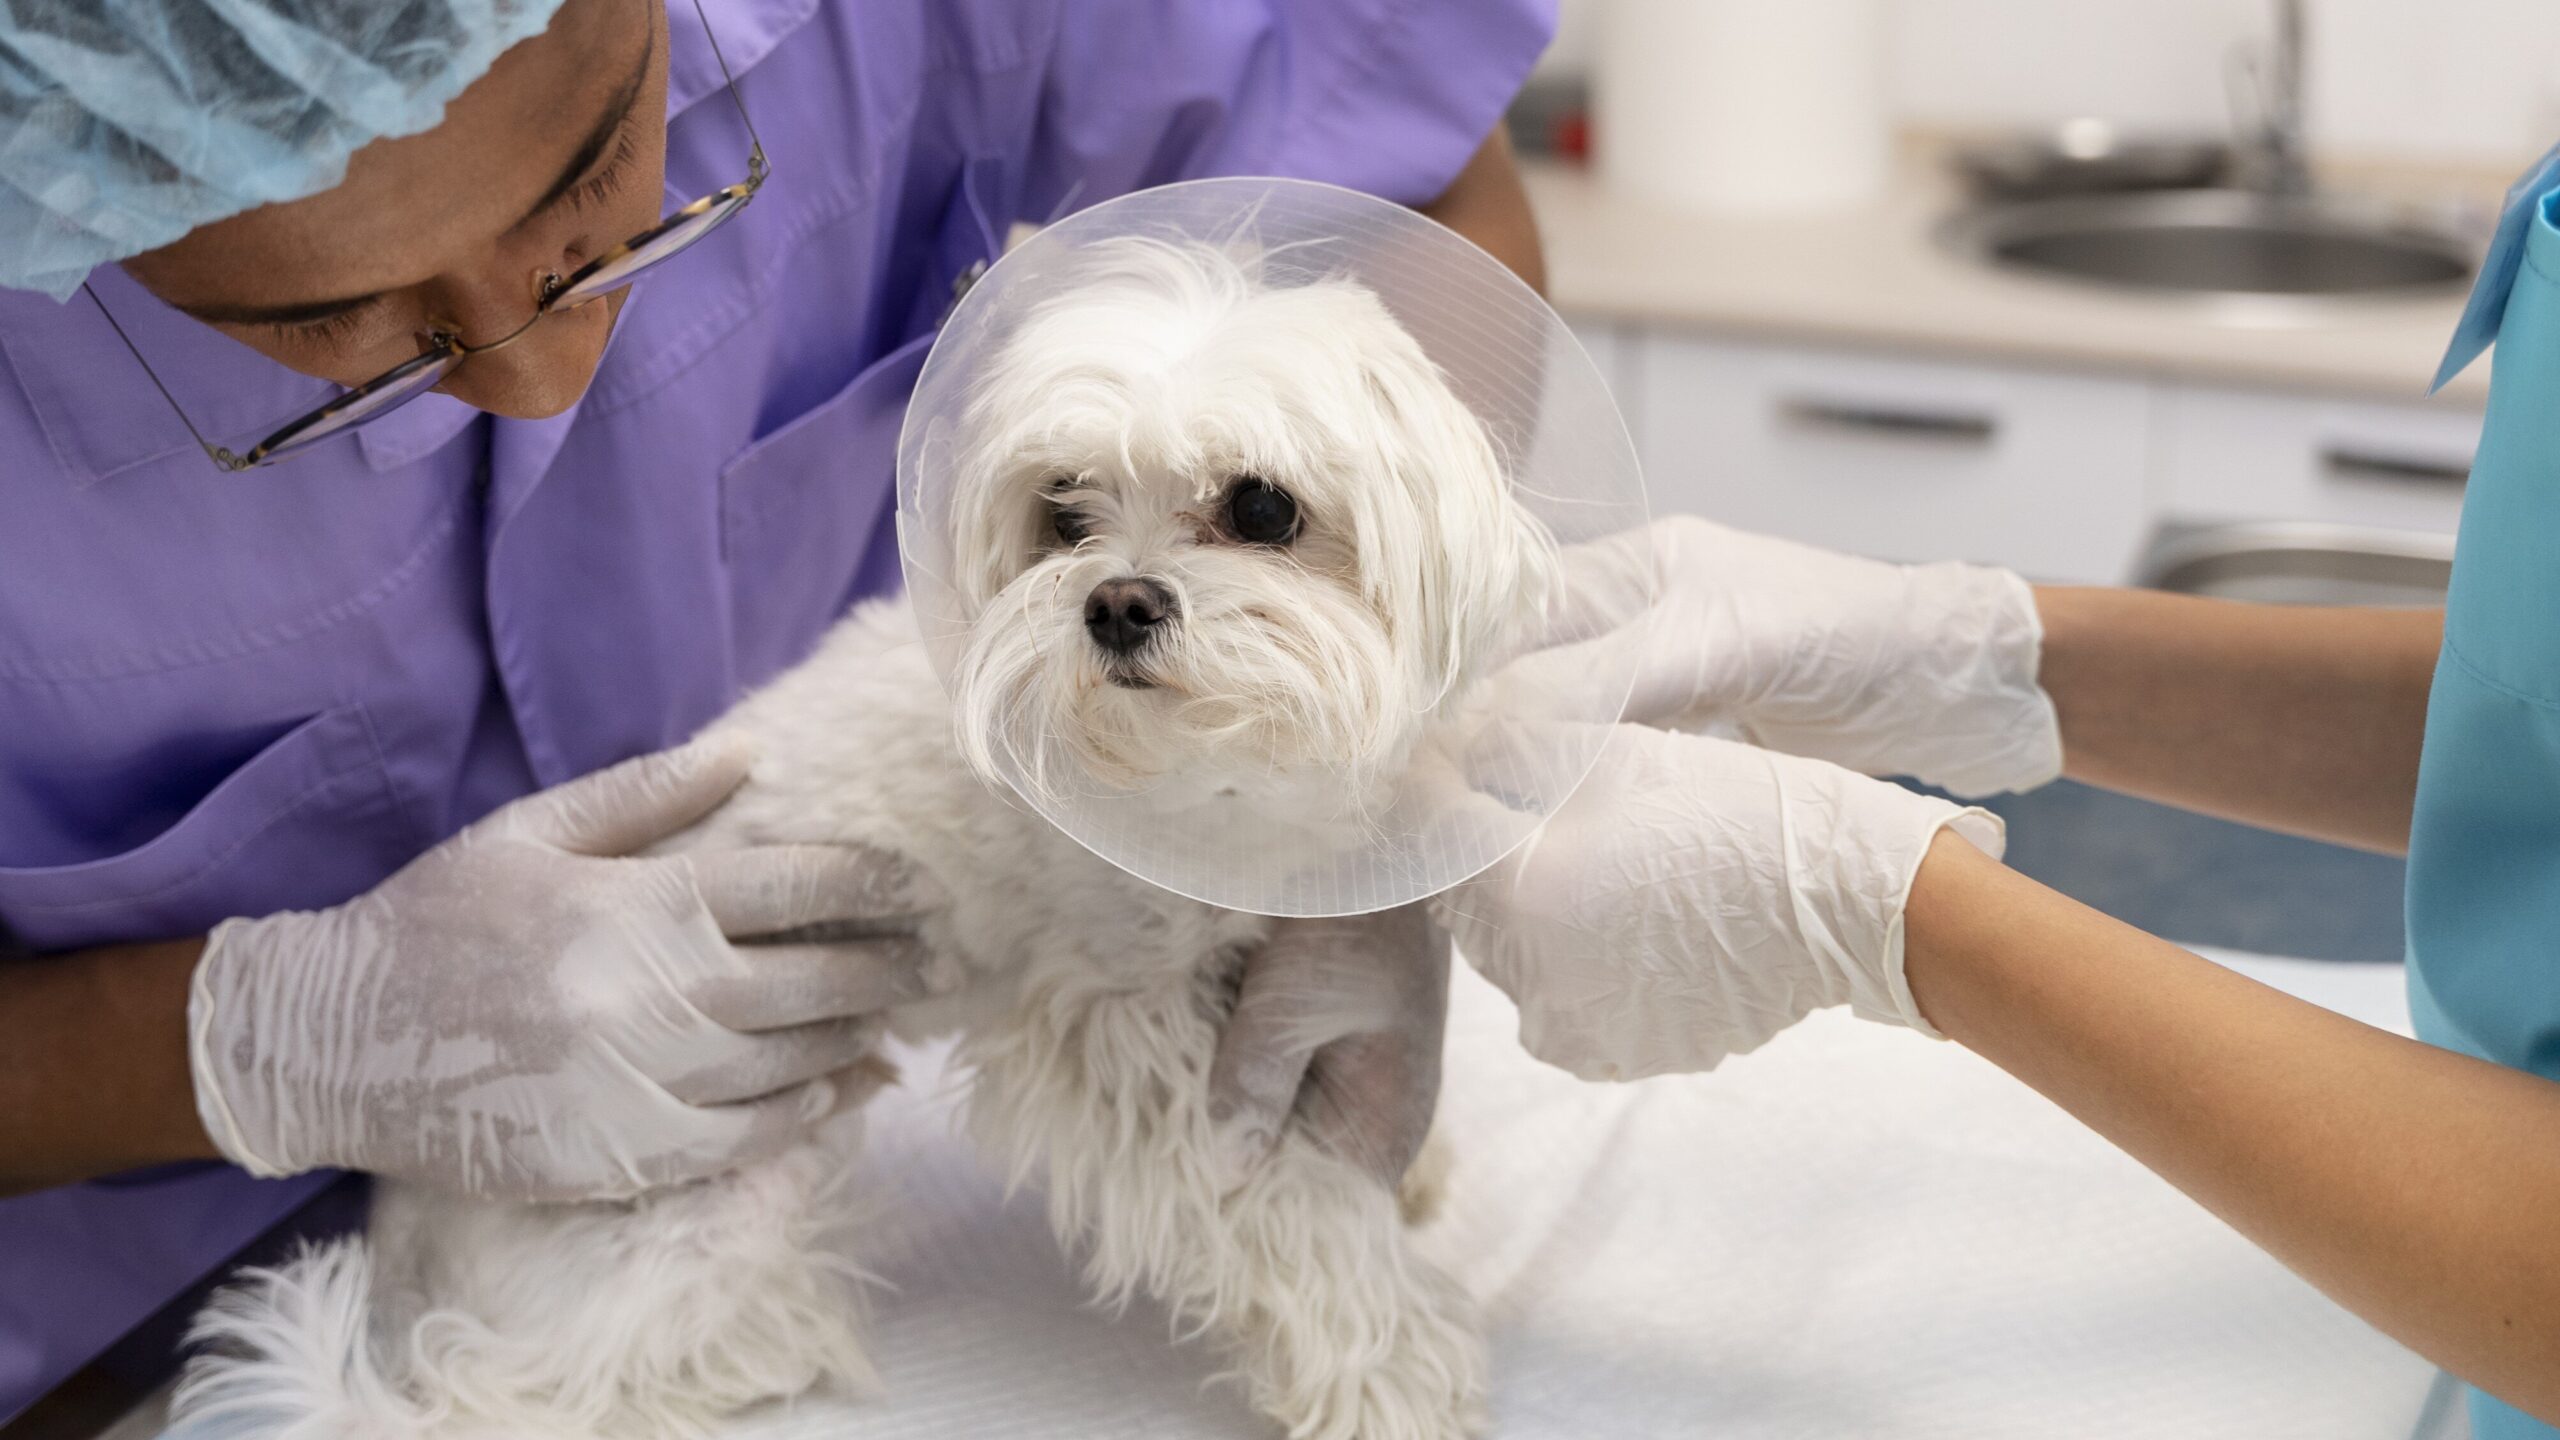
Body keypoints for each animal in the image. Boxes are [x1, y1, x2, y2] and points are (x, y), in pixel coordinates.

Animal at [170, 235, 1556, 1434]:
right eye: (1063, 515)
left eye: (1263, 509)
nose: (1115, 602)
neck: (1212, 783)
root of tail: (404, 1239)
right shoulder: (1115, 1033)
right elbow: (1287, 1211)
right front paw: (1399, 1369)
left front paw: (1403, 1159)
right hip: (702, 1220)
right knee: (569, 1383)